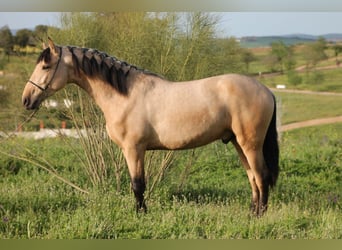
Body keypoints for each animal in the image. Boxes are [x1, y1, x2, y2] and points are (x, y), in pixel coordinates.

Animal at [20, 38, 278, 216]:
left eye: (45, 66)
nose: (26, 100)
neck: (125, 95)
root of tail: (266, 90)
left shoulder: (134, 149)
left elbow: (137, 184)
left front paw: (141, 214)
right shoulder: (133, 150)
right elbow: (138, 184)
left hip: (250, 144)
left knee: (261, 176)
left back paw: (259, 216)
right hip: (237, 142)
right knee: (252, 177)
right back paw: (251, 213)